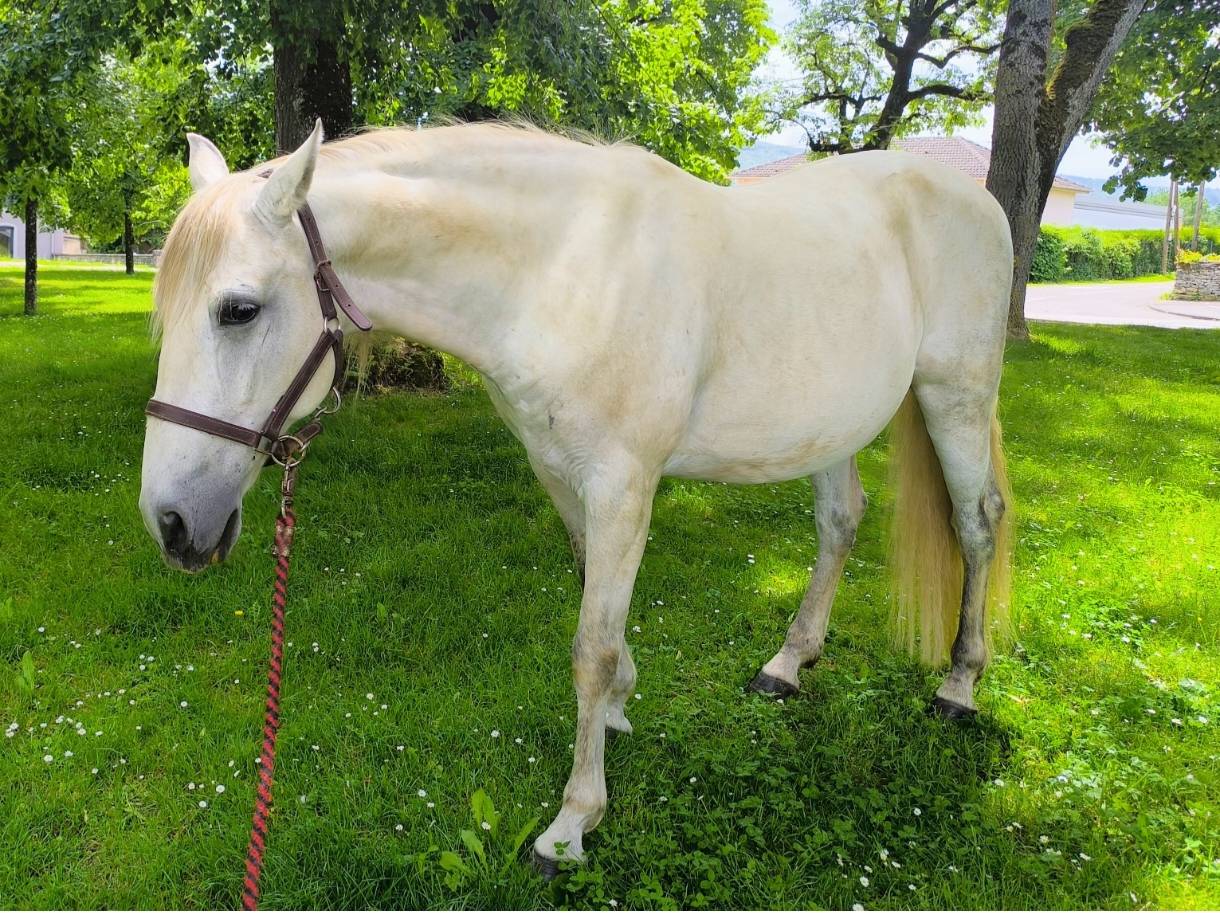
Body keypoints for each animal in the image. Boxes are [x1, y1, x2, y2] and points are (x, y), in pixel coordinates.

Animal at [139, 120, 1014, 870]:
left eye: (239, 309)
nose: (172, 523)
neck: (560, 271)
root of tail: (978, 200)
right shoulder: (560, 472)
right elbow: (597, 600)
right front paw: (622, 705)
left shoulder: (623, 481)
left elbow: (589, 646)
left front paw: (572, 824)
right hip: (832, 428)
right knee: (840, 524)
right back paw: (788, 663)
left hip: (956, 398)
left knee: (976, 526)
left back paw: (959, 684)